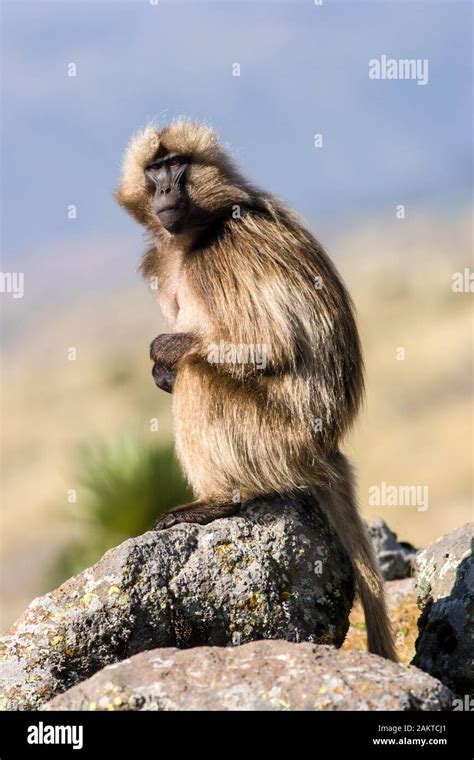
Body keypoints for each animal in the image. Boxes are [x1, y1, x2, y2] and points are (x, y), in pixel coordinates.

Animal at [115, 119, 396, 660]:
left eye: (176, 165)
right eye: (154, 169)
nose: (164, 191)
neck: (191, 237)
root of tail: (326, 447)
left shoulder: (222, 255)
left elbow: (270, 343)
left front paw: (163, 354)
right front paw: (160, 368)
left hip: (277, 440)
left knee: (199, 376)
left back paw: (216, 501)